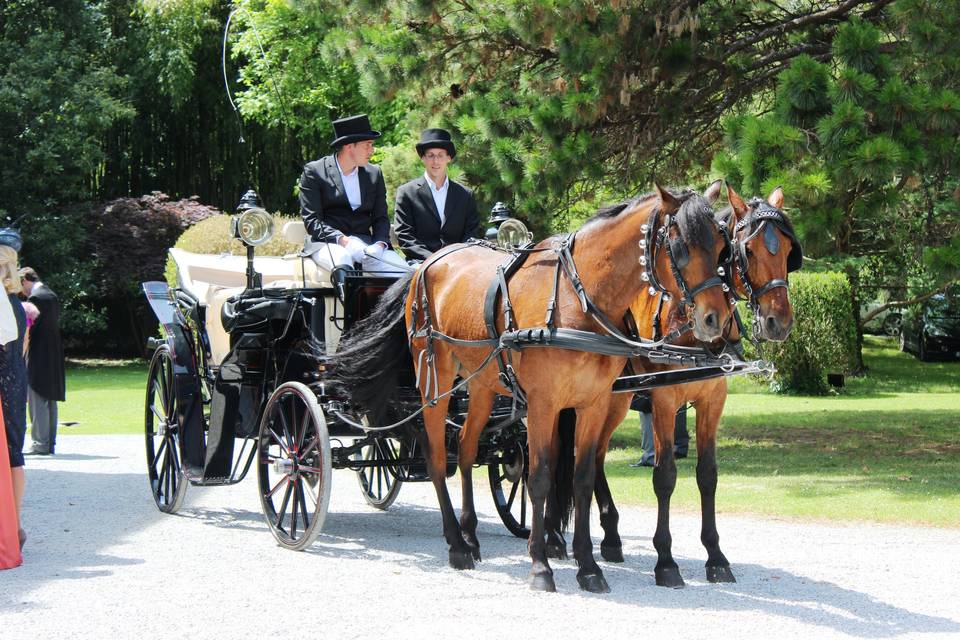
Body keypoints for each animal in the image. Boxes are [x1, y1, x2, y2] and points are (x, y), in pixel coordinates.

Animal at [334, 182, 732, 592]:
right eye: (680, 245)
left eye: (722, 245)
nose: (715, 319)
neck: (578, 299)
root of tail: (424, 267)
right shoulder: (544, 404)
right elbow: (538, 477)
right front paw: (541, 566)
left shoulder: (594, 403)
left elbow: (582, 478)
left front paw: (588, 566)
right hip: (435, 379)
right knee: (436, 456)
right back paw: (457, 544)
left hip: (483, 385)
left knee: (465, 447)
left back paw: (471, 536)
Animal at [548, 182, 804, 588]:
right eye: (747, 250)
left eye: (789, 249)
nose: (778, 321)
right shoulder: (665, 400)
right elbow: (665, 475)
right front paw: (666, 560)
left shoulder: (713, 398)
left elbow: (708, 475)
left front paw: (716, 556)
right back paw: (556, 538)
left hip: (612, 400)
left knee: (595, 456)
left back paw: (610, 536)